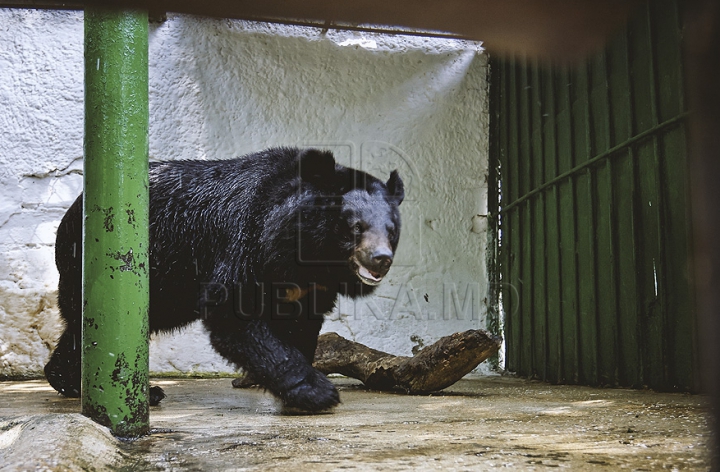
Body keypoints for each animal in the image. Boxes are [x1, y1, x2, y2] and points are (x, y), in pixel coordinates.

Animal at [45, 148, 404, 412]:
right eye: (356, 227)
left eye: (392, 231)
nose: (381, 259)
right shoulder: (244, 240)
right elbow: (231, 311)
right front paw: (317, 392)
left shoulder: (309, 288)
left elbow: (299, 325)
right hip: (103, 264)